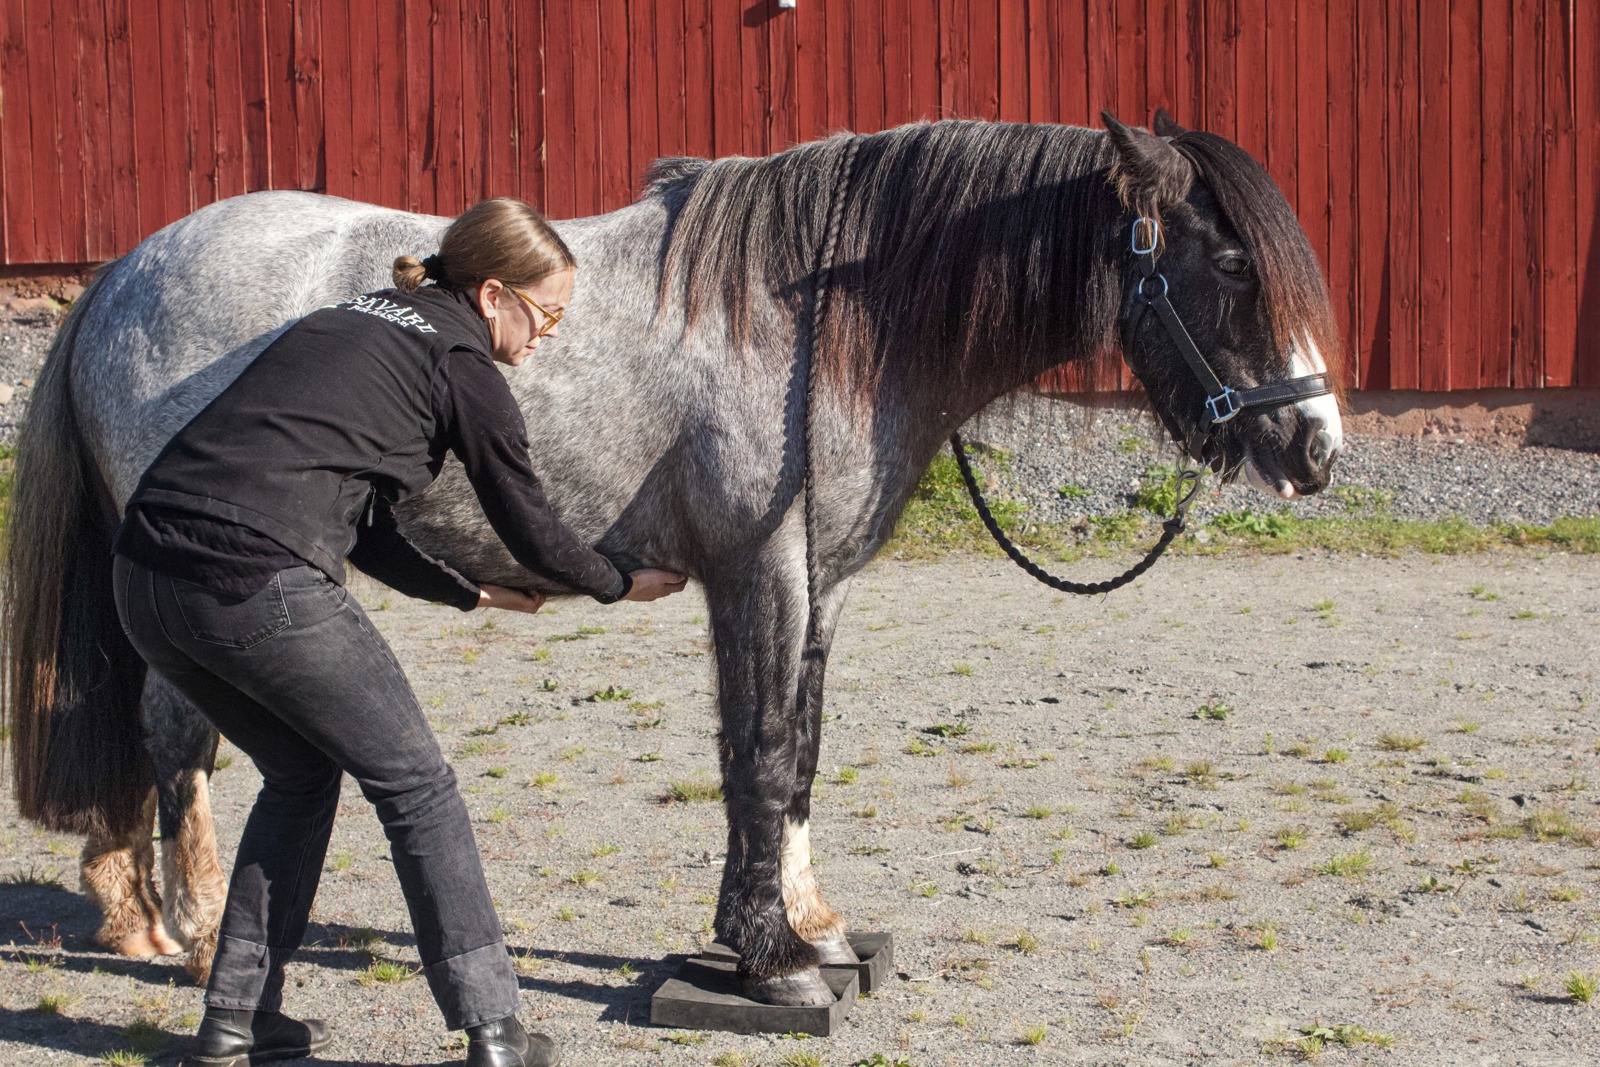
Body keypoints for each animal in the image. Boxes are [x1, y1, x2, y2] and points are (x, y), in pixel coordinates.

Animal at [6, 112, 1344, 1004]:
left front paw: (817, 927)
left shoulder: (820, 581)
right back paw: (188, 935)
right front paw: (774, 957)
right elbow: (758, 753)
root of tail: (124, 272)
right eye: (1232, 263)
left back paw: (142, 918)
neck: (825, 318)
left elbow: (800, 751)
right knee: (178, 739)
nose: (1316, 447)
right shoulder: (761, 569)